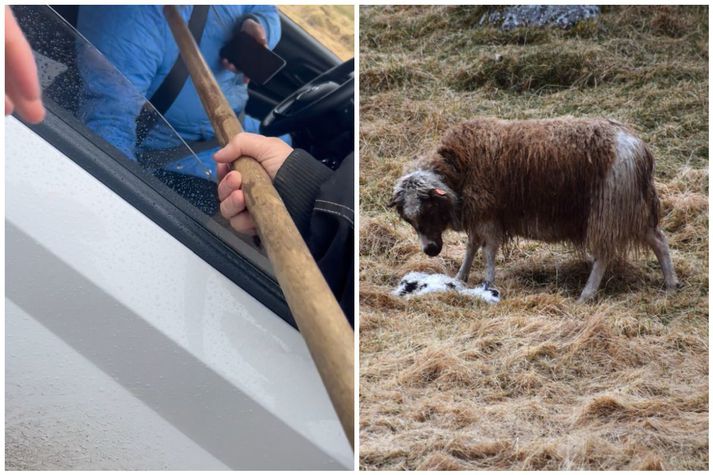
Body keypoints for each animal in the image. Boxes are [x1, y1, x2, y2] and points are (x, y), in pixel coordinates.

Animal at [390, 120, 680, 304]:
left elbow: (488, 250)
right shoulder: (478, 216)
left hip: (609, 209)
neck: (458, 168)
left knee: (605, 254)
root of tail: (640, 150)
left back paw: (587, 294)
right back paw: (671, 284)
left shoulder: (488, 215)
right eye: (409, 220)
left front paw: (488, 283)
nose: (430, 251)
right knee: (659, 240)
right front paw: (460, 278)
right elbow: (471, 248)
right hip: (633, 209)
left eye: (428, 209)